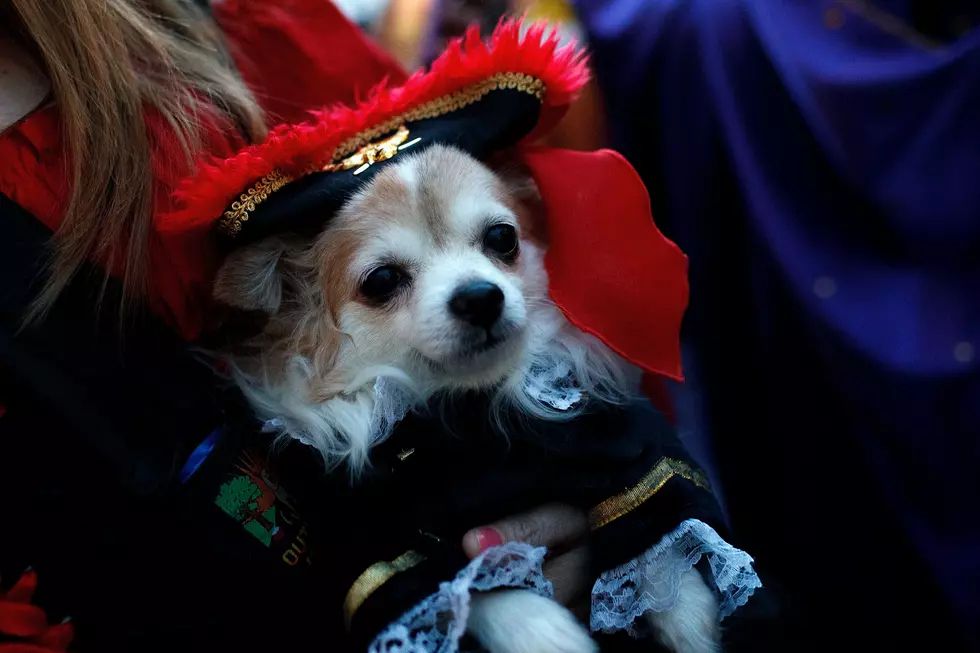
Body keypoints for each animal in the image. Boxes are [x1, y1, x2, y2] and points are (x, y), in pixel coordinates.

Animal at [212, 145, 720, 652]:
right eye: (381, 280)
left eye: (502, 237)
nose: (479, 296)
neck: (471, 418)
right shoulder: (383, 549)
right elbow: (463, 586)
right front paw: (541, 631)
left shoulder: (618, 447)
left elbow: (656, 529)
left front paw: (685, 610)